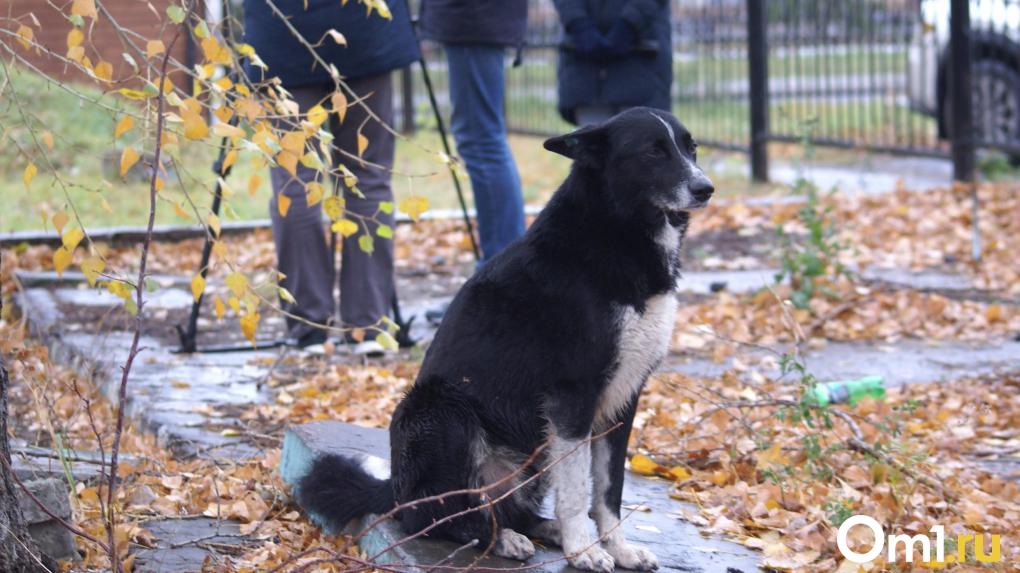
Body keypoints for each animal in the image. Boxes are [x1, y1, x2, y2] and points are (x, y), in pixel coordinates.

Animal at [297, 108, 714, 570]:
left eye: (691, 148)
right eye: (653, 152)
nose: (705, 188)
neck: (617, 229)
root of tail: (396, 490)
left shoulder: (621, 402)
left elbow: (609, 490)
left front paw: (617, 547)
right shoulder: (573, 398)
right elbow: (577, 489)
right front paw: (583, 549)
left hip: (532, 453)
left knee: (507, 510)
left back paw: (541, 529)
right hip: (442, 410)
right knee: (439, 518)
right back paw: (501, 539)